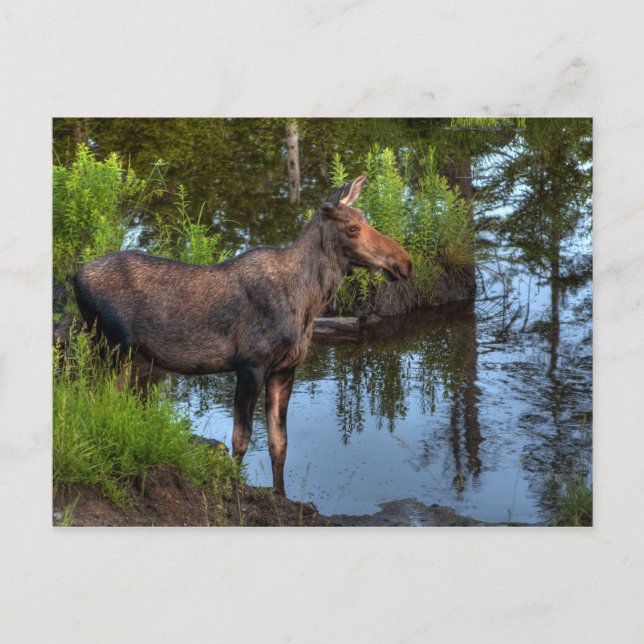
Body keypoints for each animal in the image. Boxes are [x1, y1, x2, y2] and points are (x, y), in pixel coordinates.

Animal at [74, 174, 412, 495]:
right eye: (352, 228)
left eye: (365, 217)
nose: (404, 262)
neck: (309, 303)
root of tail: (74, 278)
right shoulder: (251, 364)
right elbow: (241, 438)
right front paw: (234, 487)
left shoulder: (285, 369)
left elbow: (279, 442)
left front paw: (280, 495)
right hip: (110, 347)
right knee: (95, 399)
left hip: (134, 358)